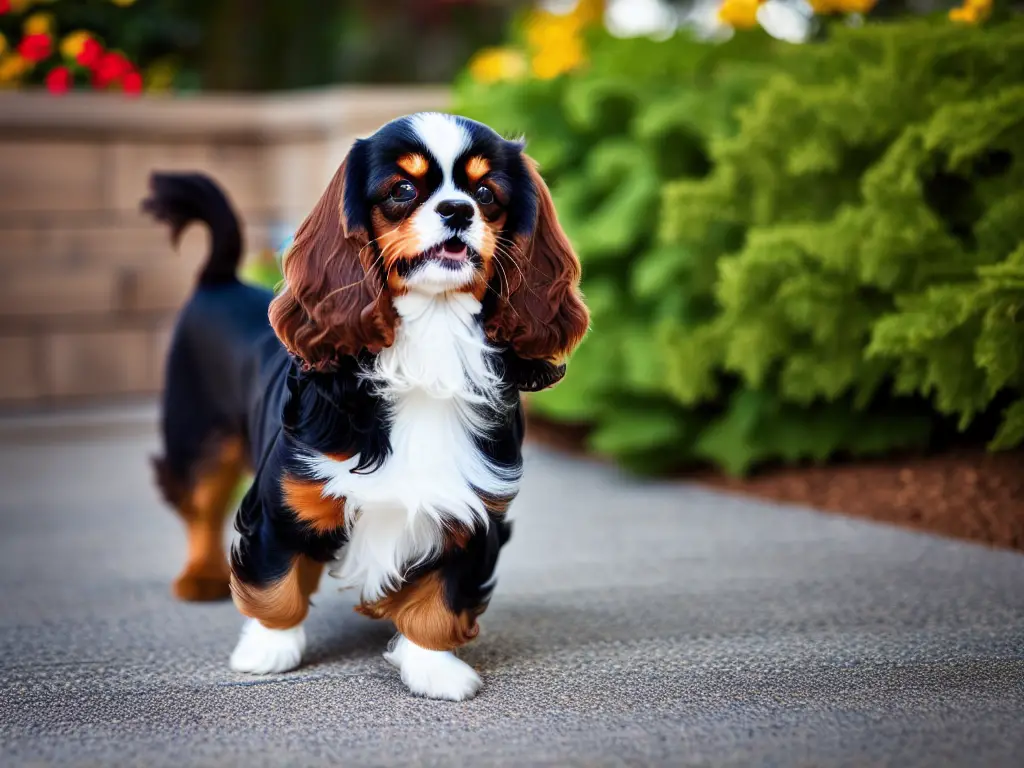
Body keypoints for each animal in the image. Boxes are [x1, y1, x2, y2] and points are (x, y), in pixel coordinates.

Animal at [146, 114, 593, 704]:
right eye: (401, 190)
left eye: (486, 194)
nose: (458, 210)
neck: (431, 337)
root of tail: (218, 281)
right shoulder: (285, 498)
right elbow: (275, 582)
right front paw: (267, 649)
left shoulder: (473, 511)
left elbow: (440, 600)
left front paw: (432, 667)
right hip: (198, 435)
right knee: (200, 504)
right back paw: (200, 576)